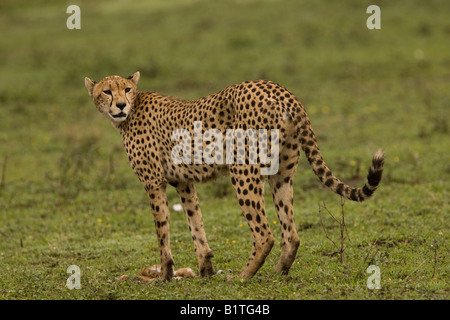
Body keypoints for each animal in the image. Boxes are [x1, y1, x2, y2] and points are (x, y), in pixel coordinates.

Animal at [83, 72, 384, 280]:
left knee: (264, 235)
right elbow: (196, 225)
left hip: (242, 170)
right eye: (107, 91)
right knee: (291, 233)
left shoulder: (153, 183)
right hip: (281, 174)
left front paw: (165, 275)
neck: (133, 110)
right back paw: (278, 272)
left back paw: (242, 277)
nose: (120, 105)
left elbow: (162, 231)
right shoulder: (184, 183)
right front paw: (205, 269)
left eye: (127, 89)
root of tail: (279, 89)